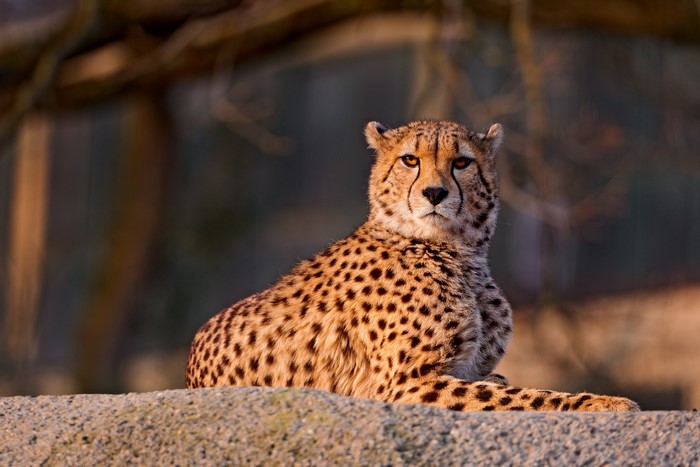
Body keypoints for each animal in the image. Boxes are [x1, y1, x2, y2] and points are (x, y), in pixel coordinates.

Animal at [185, 120, 640, 412]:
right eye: (409, 160)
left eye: (461, 162)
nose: (435, 193)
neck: (458, 255)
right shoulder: (404, 385)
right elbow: (524, 397)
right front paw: (603, 402)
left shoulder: (463, 370)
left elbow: (502, 384)